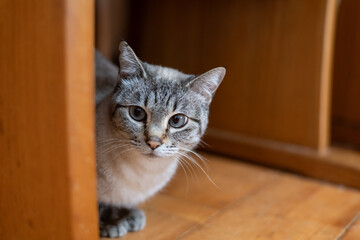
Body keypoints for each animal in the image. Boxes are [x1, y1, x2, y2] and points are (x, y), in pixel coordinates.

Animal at [95, 41, 225, 238]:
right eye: (137, 113)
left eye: (177, 120)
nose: (154, 142)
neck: (144, 172)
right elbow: (97, 205)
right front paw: (112, 223)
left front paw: (128, 214)